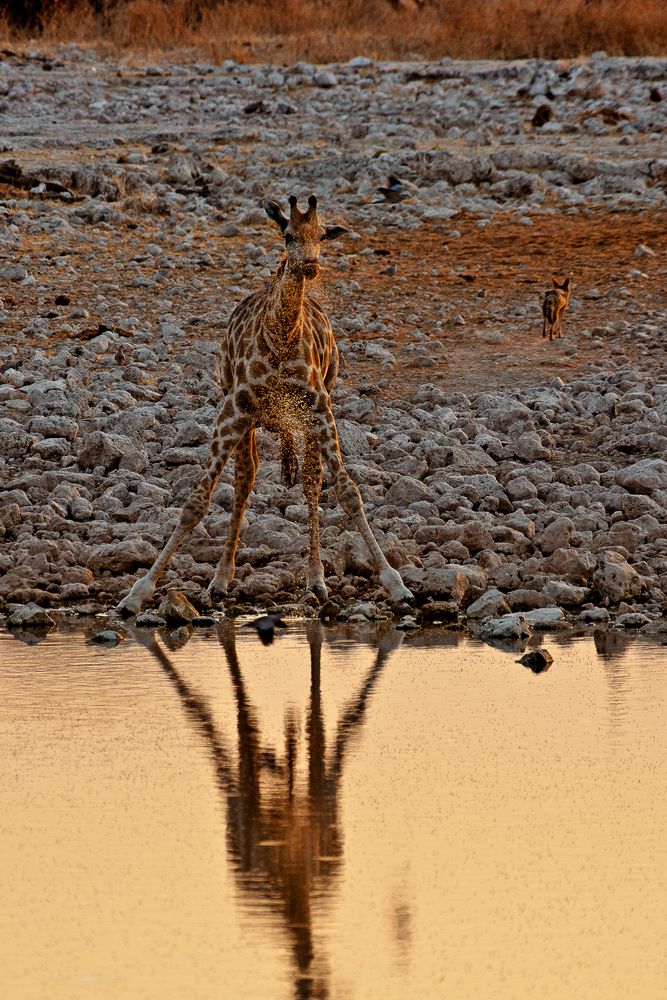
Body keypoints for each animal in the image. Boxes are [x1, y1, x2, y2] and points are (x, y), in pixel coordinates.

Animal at [119, 193, 412, 616]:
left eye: (323, 236)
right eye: (287, 234)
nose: (310, 265)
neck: (280, 338)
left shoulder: (320, 410)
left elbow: (347, 492)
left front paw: (395, 583)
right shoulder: (233, 413)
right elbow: (196, 502)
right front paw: (137, 592)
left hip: (308, 416)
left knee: (311, 482)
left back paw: (316, 580)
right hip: (245, 418)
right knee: (245, 481)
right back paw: (221, 578)